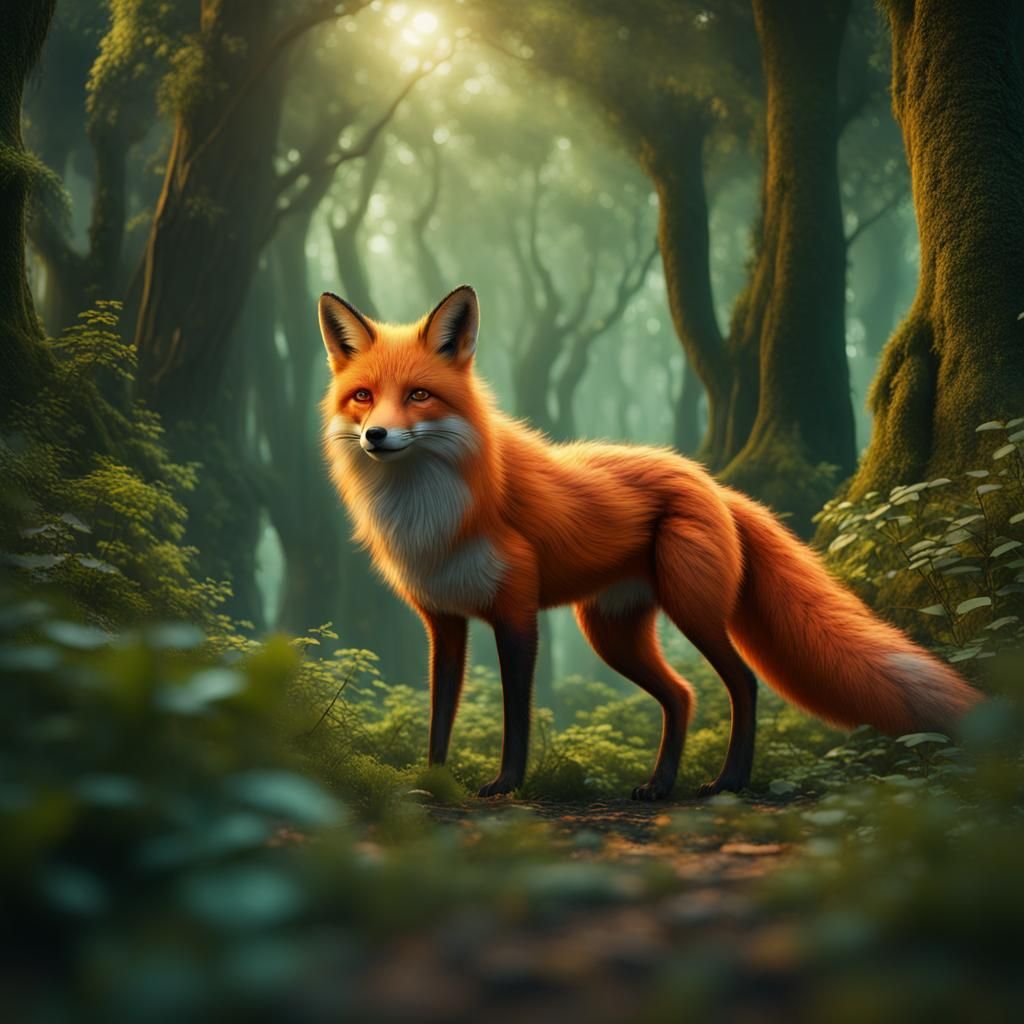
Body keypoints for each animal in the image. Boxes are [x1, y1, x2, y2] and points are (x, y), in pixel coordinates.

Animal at [317, 284, 981, 800]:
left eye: (419, 395)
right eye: (363, 396)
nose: (376, 435)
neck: (430, 512)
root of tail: (712, 482)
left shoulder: (516, 611)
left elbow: (515, 713)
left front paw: (506, 785)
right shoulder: (444, 621)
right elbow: (439, 713)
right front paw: (431, 783)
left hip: (691, 609)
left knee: (741, 683)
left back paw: (729, 781)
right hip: (612, 634)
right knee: (681, 696)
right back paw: (659, 785)